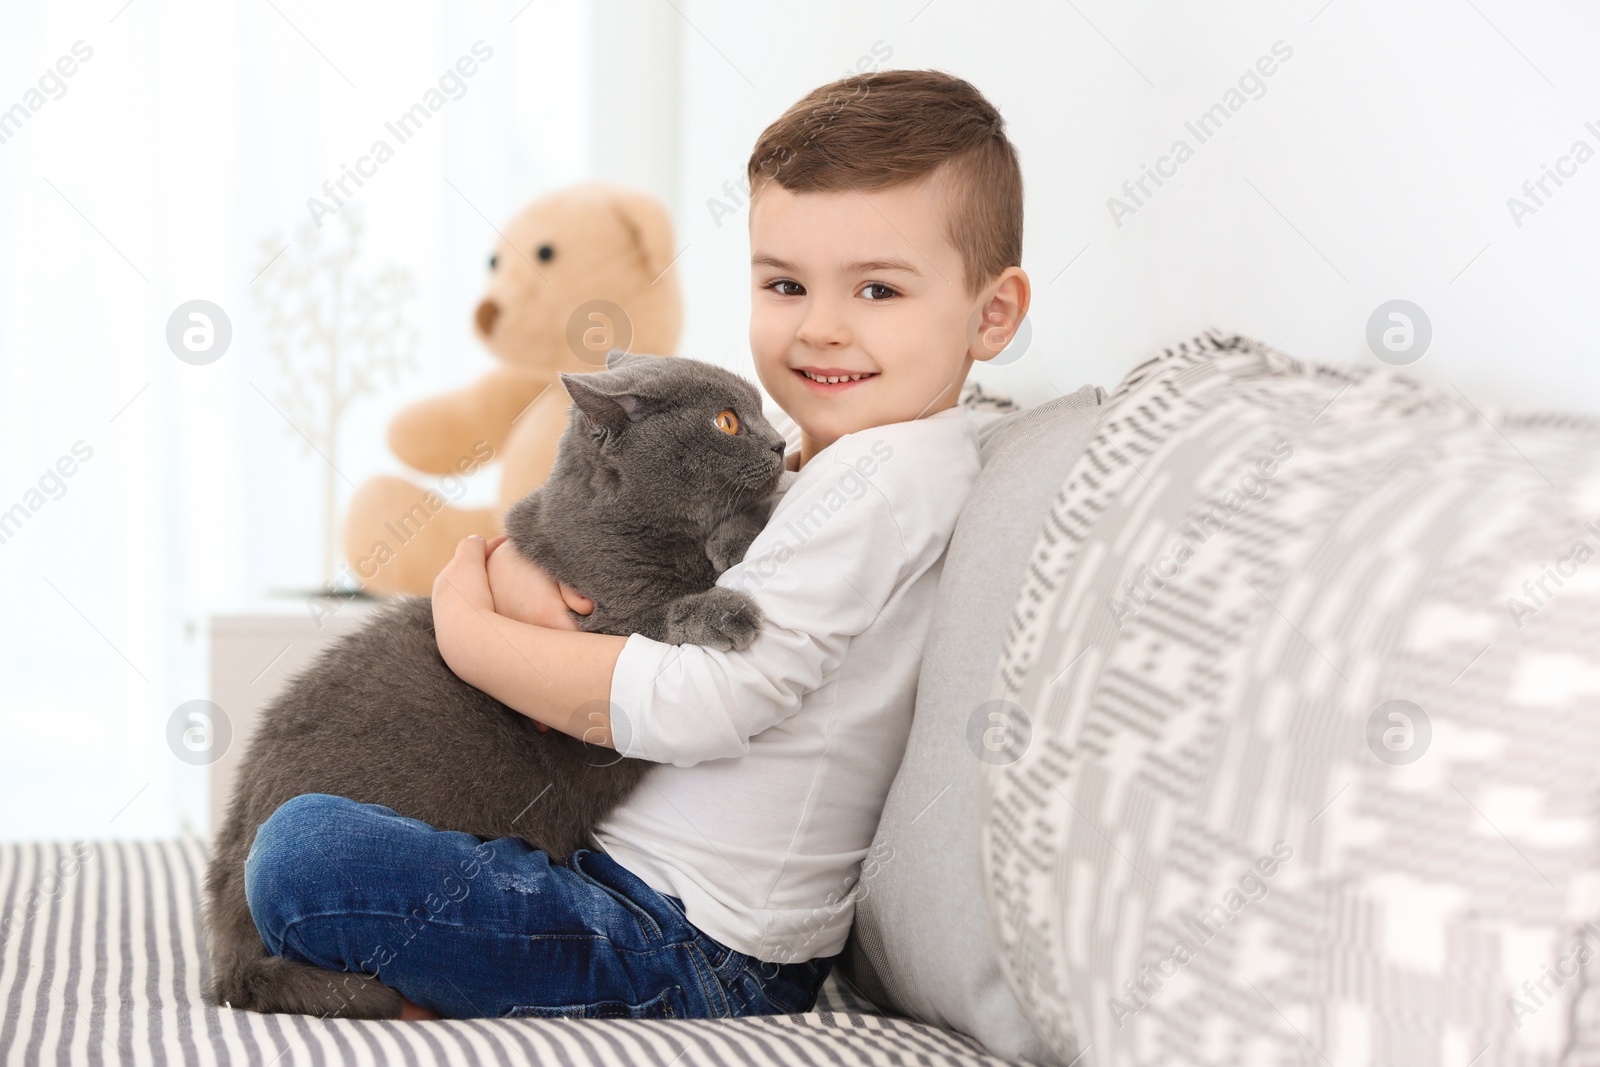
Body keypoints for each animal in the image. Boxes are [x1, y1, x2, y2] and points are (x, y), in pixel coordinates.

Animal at [203, 350, 790, 1017]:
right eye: (726, 422)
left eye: (760, 408)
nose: (781, 443)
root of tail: (223, 949)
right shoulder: (603, 641)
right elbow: (663, 617)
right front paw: (729, 597)